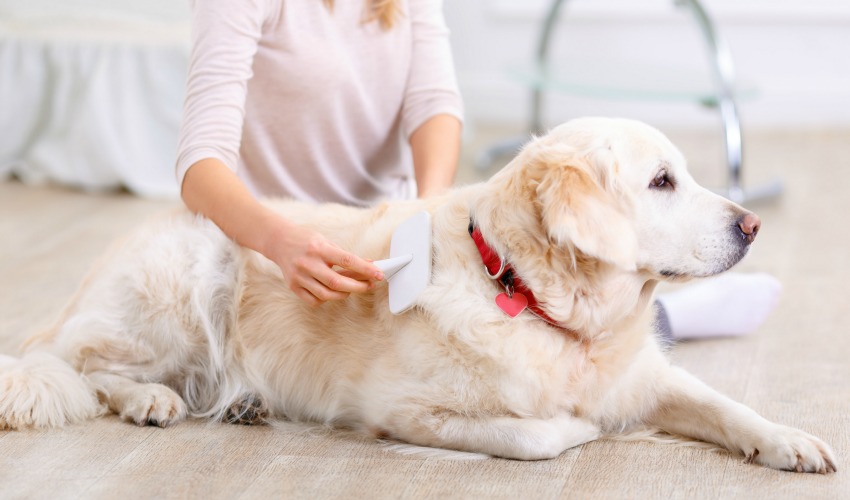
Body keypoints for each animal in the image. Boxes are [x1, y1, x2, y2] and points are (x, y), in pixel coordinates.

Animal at [0, 116, 836, 472]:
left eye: (684, 173)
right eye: (662, 182)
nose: (752, 225)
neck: (531, 296)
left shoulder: (644, 375)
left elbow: (723, 406)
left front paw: (789, 441)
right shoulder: (399, 409)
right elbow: (538, 434)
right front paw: (578, 426)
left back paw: (242, 402)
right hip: (185, 279)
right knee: (83, 363)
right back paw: (151, 399)